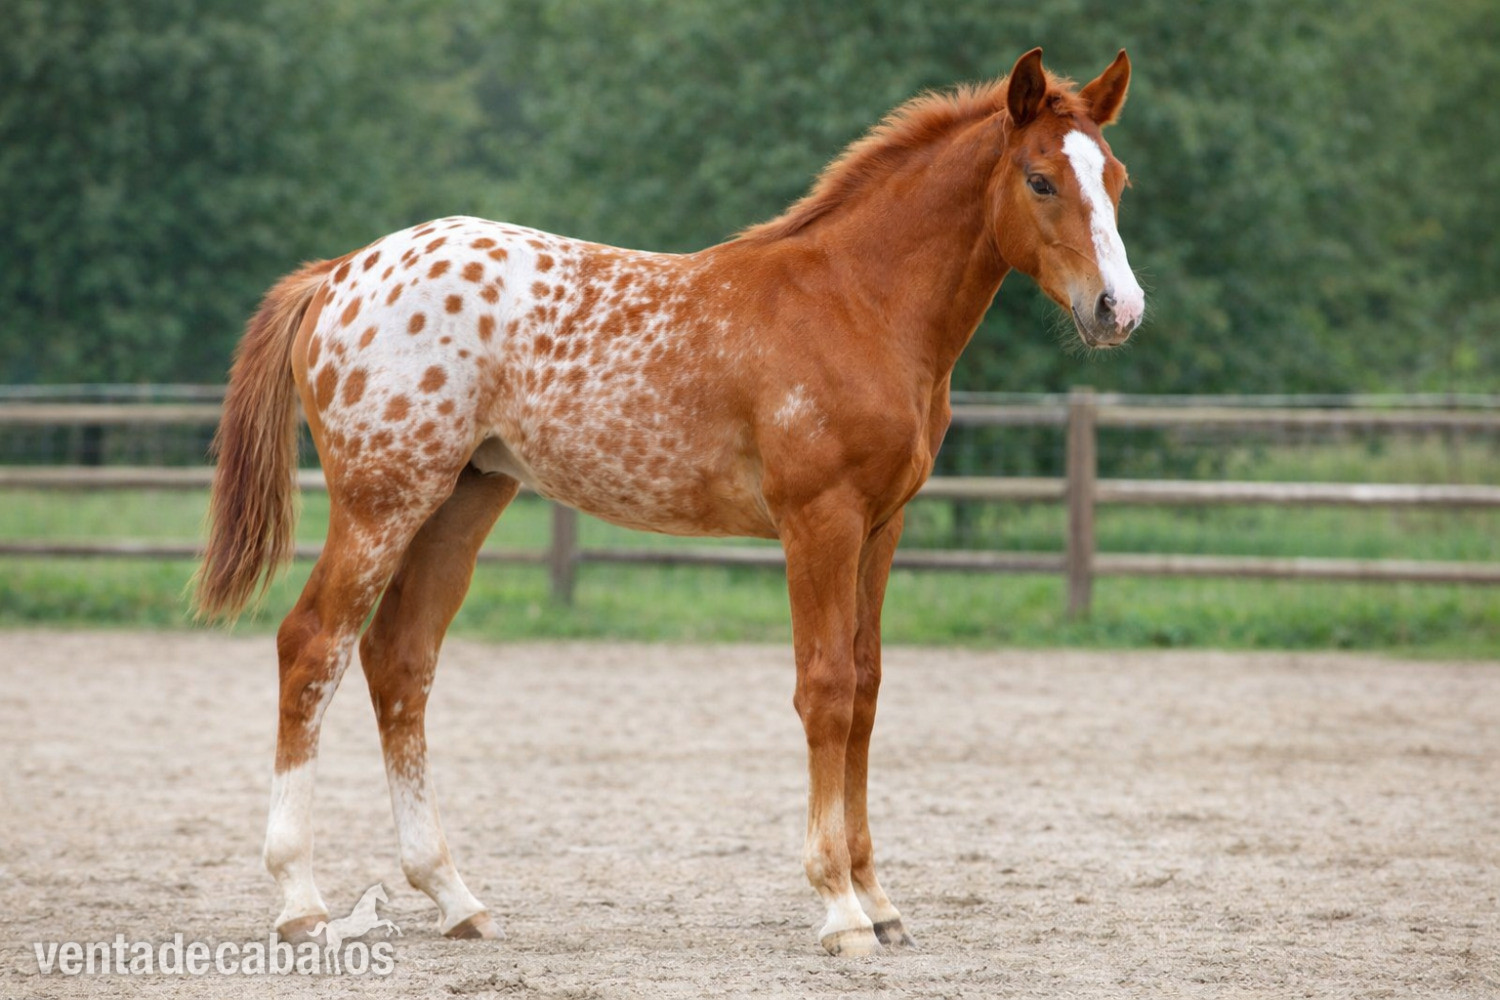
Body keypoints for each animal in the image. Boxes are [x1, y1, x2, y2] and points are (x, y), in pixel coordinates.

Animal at [194, 47, 1144, 957]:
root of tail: (339, 274)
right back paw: (301, 902)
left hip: (462, 501)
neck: (856, 301)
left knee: (399, 662)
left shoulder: (882, 525)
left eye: (1117, 178)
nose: (1118, 309)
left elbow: (868, 690)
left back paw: (456, 898)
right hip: (381, 502)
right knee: (313, 646)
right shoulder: (819, 520)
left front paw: (880, 903)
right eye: (1040, 179)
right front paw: (839, 908)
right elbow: (826, 689)